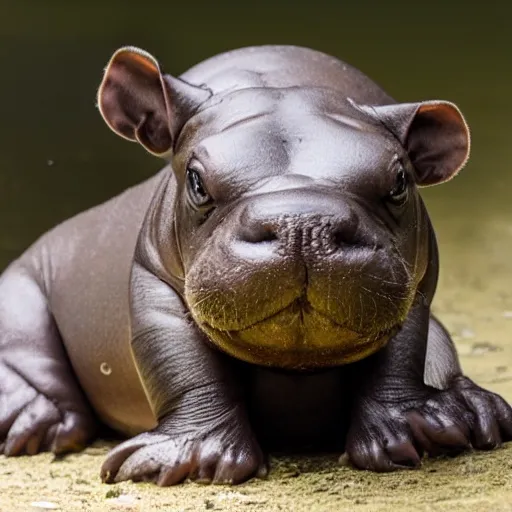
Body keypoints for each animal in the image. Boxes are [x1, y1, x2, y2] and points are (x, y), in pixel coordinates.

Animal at [1, 43, 512, 484]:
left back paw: (474, 412)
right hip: (21, 289)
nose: (302, 223)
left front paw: (418, 435)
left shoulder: (418, 285)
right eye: (196, 181)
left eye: (400, 181)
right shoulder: (154, 282)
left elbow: (402, 354)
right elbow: (181, 363)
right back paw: (36, 427)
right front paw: (189, 462)